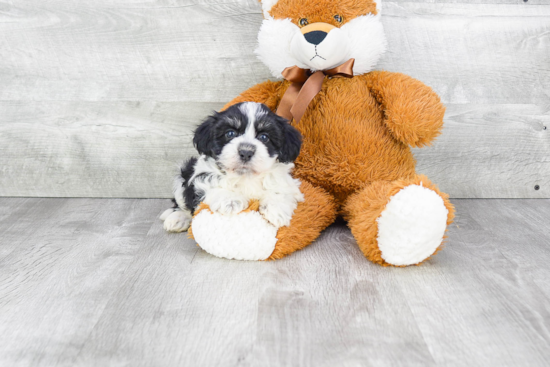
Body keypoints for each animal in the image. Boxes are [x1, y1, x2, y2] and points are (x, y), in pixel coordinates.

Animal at [160, 100, 306, 233]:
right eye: (230, 133)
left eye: (264, 137)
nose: (246, 152)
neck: (246, 176)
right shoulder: (201, 176)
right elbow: (211, 186)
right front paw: (230, 200)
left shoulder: (287, 183)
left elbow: (281, 190)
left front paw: (276, 209)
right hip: (183, 173)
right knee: (182, 203)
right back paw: (177, 218)